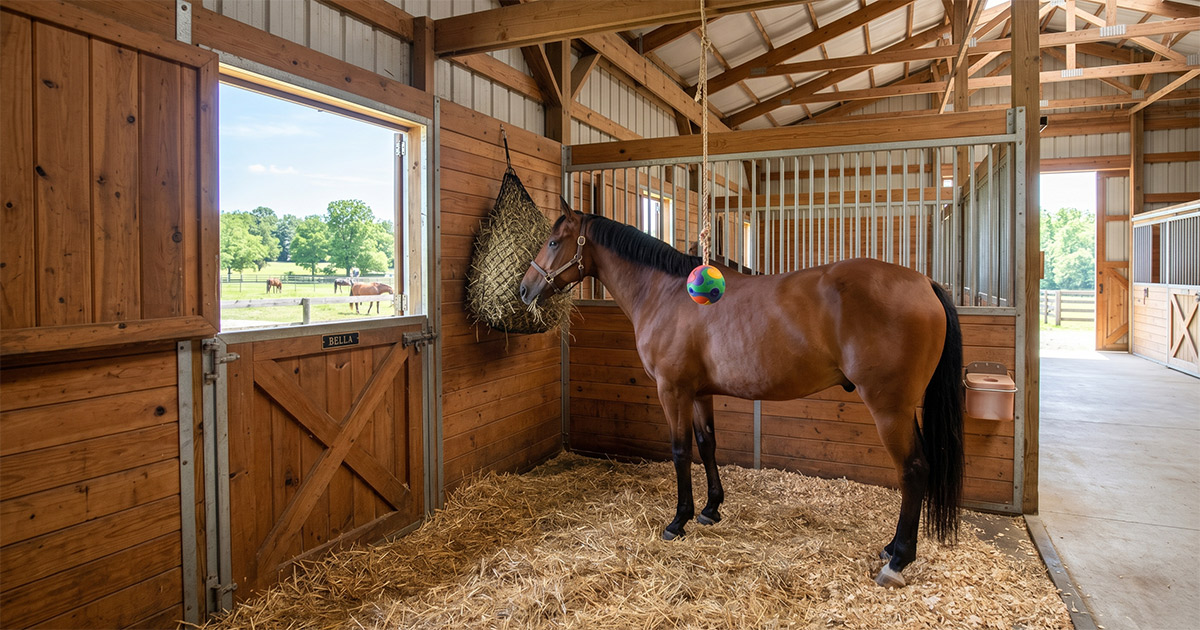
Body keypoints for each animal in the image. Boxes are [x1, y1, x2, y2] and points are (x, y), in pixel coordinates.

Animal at [519, 200, 964, 589]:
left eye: (554, 242)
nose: (524, 289)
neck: (665, 293)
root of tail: (924, 283)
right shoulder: (699, 393)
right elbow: (707, 444)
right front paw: (710, 509)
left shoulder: (672, 390)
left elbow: (680, 451)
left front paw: (678, 521)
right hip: (903, 409)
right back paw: (891, 548)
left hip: (889, 408)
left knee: (914, 469)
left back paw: (897, 560)